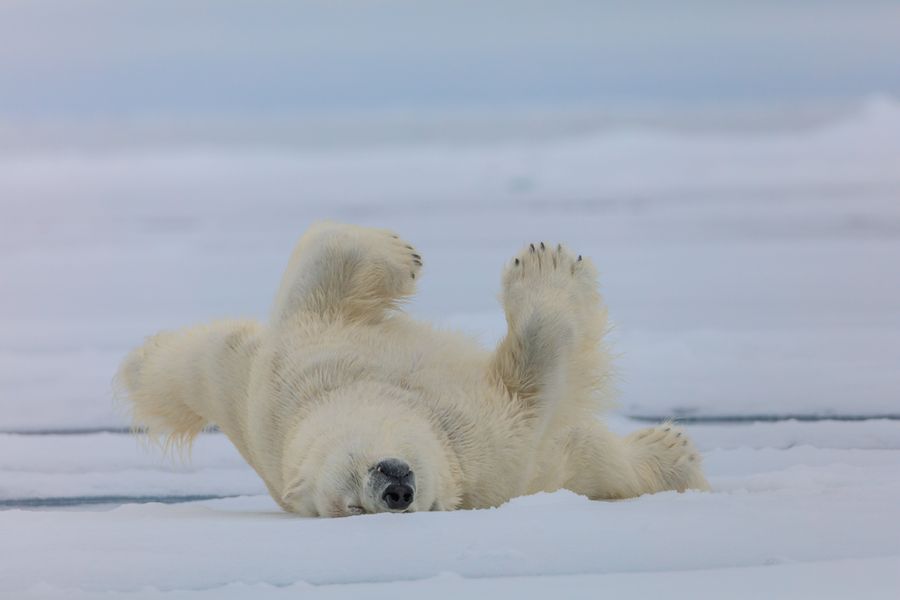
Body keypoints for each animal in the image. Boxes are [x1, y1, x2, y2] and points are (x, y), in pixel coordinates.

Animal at [116, 222, 708, 517]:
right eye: (352, 507)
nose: (394, 491)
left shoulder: (297, 367)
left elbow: (325, 264)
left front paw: (401, 252)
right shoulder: (486, 449)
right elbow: (534, 385)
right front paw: (549, 270)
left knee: (194, 363)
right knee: (596, 461)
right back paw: (673, 451)